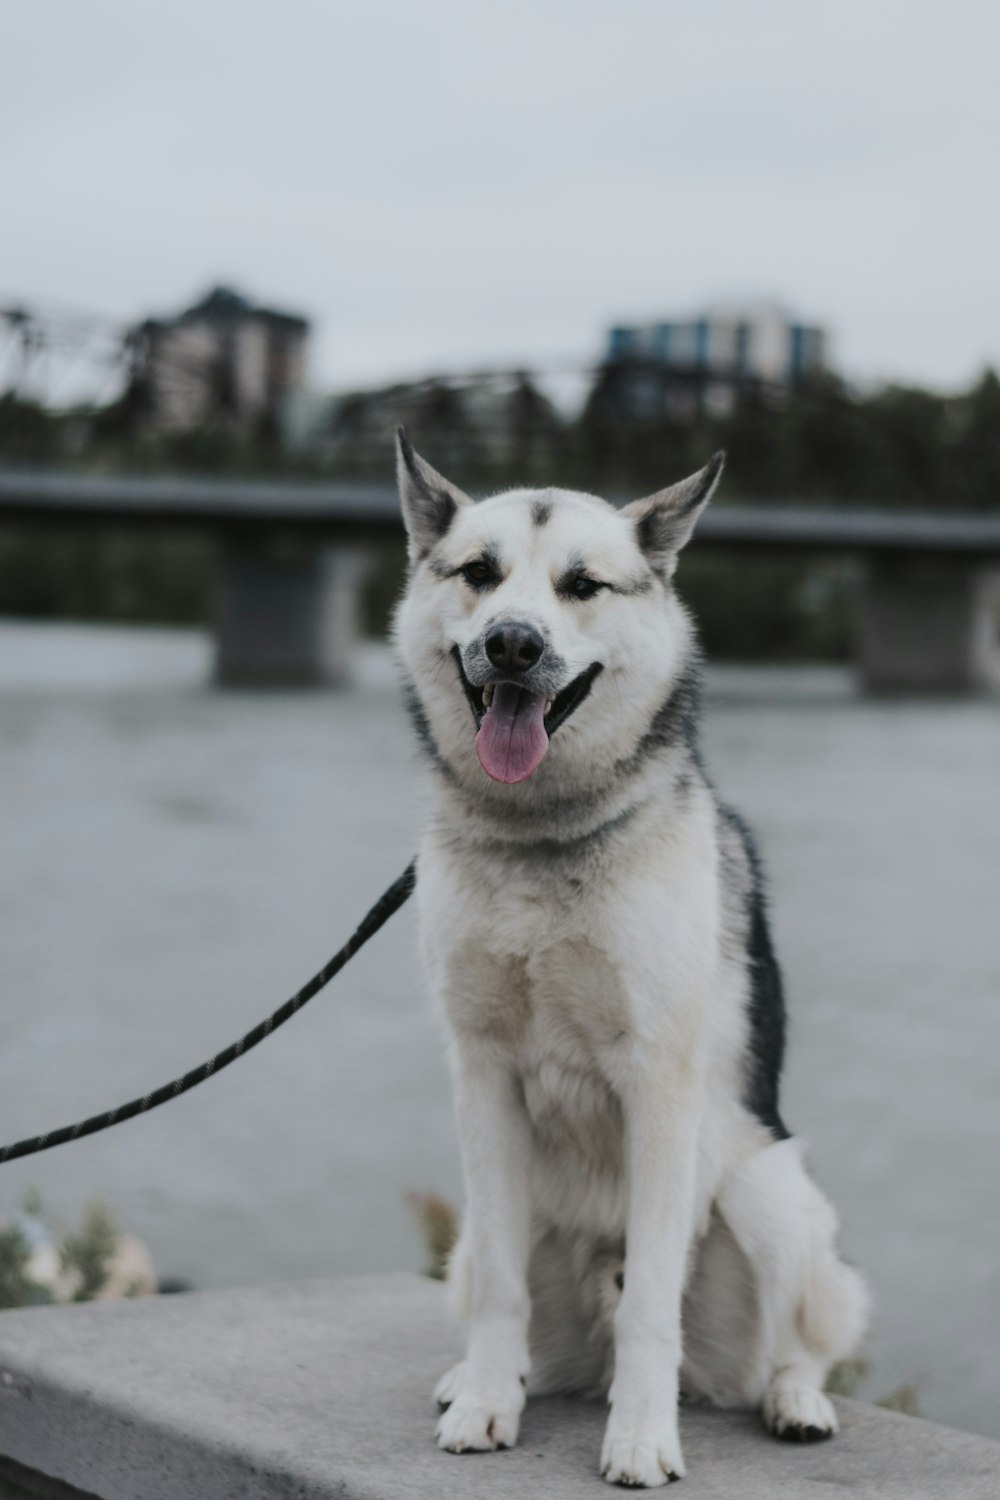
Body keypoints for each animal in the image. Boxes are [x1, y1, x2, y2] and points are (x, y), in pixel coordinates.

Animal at [389, 432, 869, 1488]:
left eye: (583, 585)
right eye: (479, 573)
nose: (513, 645)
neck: (542, 835)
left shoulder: (658, 1081)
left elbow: (654, 1298)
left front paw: (642, 1438)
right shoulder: (481, 1075)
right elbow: (505, 1299)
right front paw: (485, 1404)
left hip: (769, 1193)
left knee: (793, 1343)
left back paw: (794, 1401)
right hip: (478, 1243)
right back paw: (480, 1376)